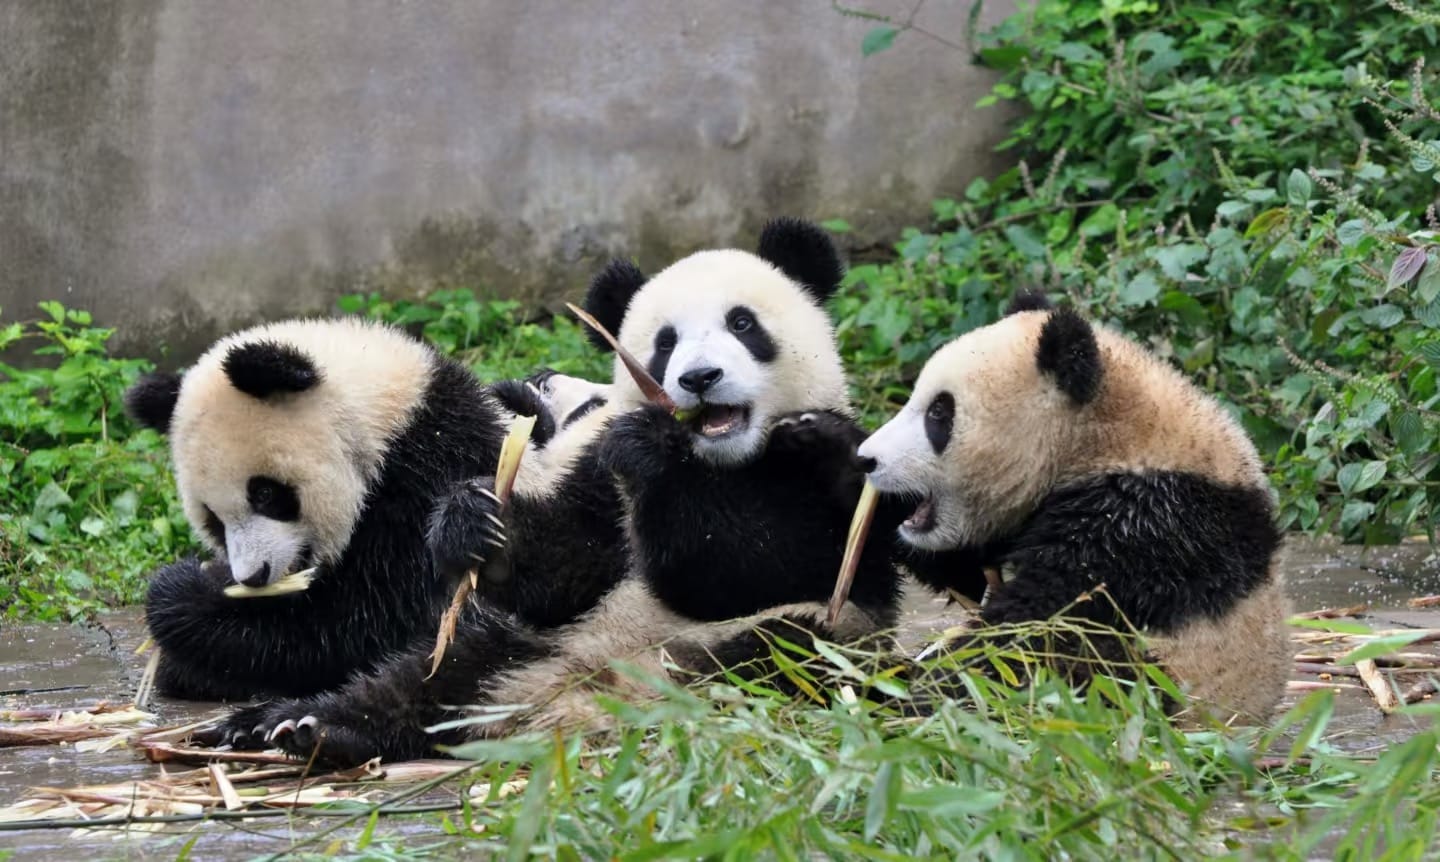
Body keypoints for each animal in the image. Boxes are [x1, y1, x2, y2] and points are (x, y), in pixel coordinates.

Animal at [127, 319, 623, 701]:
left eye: (265, 494)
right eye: (212, 519)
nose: (253, 577)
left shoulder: (426, 474)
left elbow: (358, 623)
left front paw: (183, 594)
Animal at [200, 218, 905, 765]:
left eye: (742, 323)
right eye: (664, 342)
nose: (699, 378)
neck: (717, 456)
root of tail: (560, 693)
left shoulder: (829, 481)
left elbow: (749, 565)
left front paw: (653, 457)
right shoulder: (593, 484)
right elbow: (570, 565)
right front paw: (475, 527)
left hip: (792, 643)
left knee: (776, 651)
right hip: (525, 642)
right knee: (428, 673)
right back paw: (306, 725)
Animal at [857, 293, 1292, 722]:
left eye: (938, 413)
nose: (869, 459)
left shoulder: (1147, 527)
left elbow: (1038, 620)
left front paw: (924, 693)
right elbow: (967, 572)